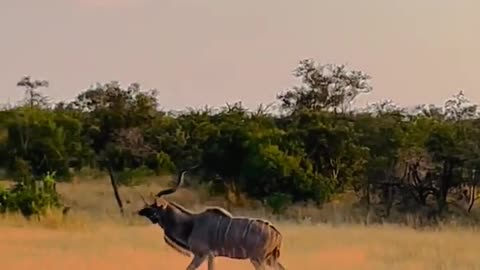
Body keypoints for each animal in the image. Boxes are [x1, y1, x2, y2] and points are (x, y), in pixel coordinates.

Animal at [136, 169, 284, 270]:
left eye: (153, 207)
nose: (140, 211)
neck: (191, 224)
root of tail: (278, 234)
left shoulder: (201, 254)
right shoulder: (211, 256)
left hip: (257, 259)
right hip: (270, 259)